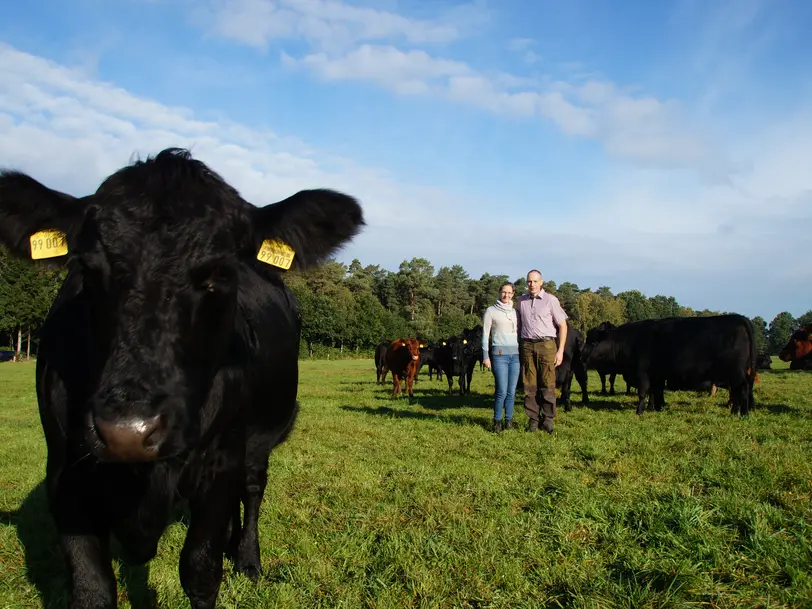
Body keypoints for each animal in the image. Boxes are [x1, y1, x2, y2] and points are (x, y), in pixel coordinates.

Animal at [0, 148, 364, 608]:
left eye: (220, 272)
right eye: (88, 267)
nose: (128, 432)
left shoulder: (221, 464)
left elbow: (200, 570)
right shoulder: (65, 474)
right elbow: (92, 588)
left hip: (259, 439)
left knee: (252, 490)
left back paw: (247, 558)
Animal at [580, 314, 760, 418]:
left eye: (592, 341)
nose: (581, 354)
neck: (628, 341)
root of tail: (739, 318)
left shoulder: (642, 374)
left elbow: (643, 393)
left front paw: (639, 411)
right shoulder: (656, 376)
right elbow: (657, 392)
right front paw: (657, 408)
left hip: (736, 372)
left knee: (742, 389)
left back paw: (743, 414)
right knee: (737, 391)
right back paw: (735, 412)